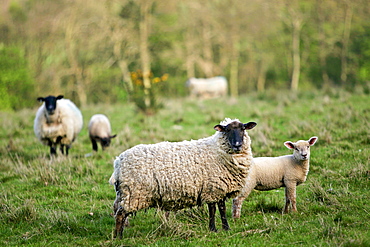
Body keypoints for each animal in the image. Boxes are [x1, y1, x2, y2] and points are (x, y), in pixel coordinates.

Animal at [108, 118, 256, 238]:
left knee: (117, 209)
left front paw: (226, 228)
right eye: (227, 130)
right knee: (121, 214)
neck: (218, 150)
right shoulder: (212, 188)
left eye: (243, 129)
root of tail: (118, 162)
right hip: (134, 193)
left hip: (124, 193)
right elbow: (213, 210)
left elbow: (222, 209)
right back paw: (119, 237)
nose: (237, 144)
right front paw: (213, 229)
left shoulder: (219, 188)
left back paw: (118, 233)